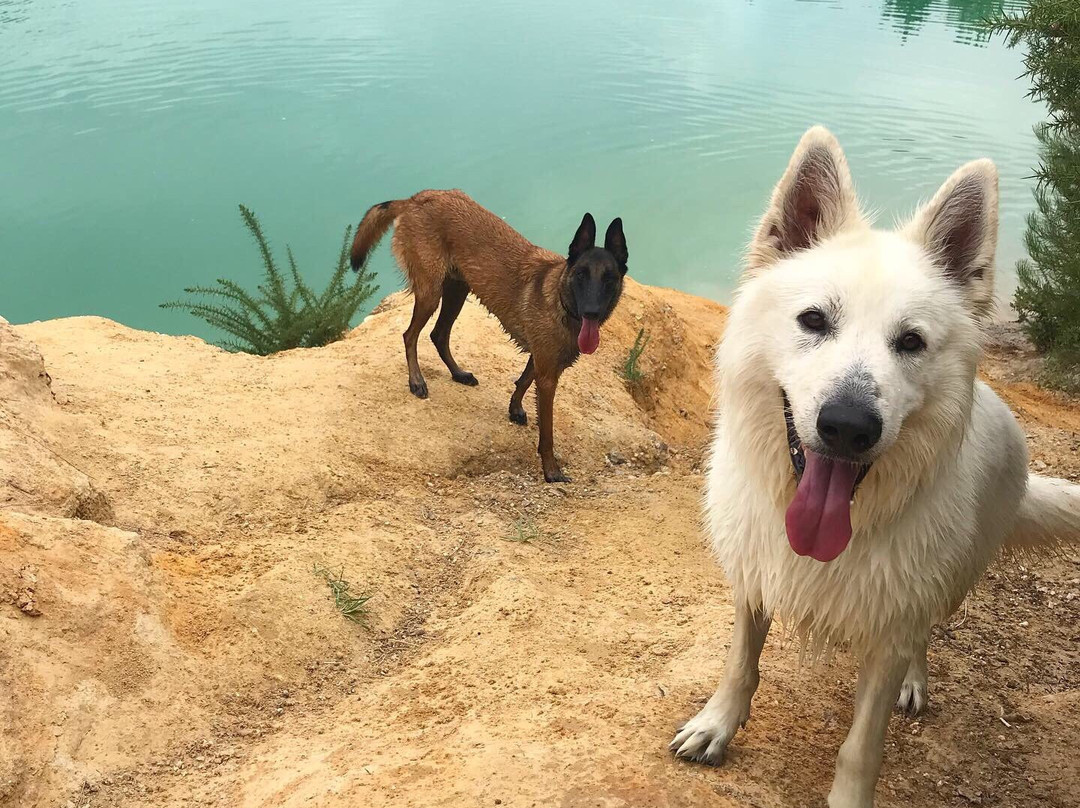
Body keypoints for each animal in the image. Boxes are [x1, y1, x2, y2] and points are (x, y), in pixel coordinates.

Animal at [349, 191, 630, 479]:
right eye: (581, 275)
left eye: (609, 279)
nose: (592, 312)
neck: (560, 299)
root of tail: (418, 197)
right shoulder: (548, 377)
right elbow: (547, 432)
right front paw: (551, 470)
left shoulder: (539, 359)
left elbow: (523, 381)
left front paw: (514, 409)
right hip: (431, 293)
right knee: (410, 335)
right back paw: (416, 381)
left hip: (457, 290)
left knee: (439, 335)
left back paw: (459, 374)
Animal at [669, 128, 1075, 808]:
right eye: (813, 320)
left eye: (910, 342)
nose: (848, 427)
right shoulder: (753, 578)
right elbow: (740, 663)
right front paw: (718, 723)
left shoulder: (888, 631)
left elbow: (862, 745)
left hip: (949, 582)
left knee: (924, 634)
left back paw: (917, 677)